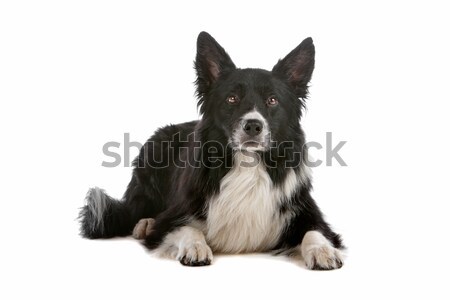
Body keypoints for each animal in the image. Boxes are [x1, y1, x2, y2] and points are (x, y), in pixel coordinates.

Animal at [79, 31, 344, 270]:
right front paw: (195, 247)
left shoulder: (307, 212)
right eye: (232, 99)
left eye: (272, 100)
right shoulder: (173, 217)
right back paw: (144, 223)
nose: (253, 126)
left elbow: (314, 232)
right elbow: (187, 228)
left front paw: (323, 251)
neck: (247, 165)